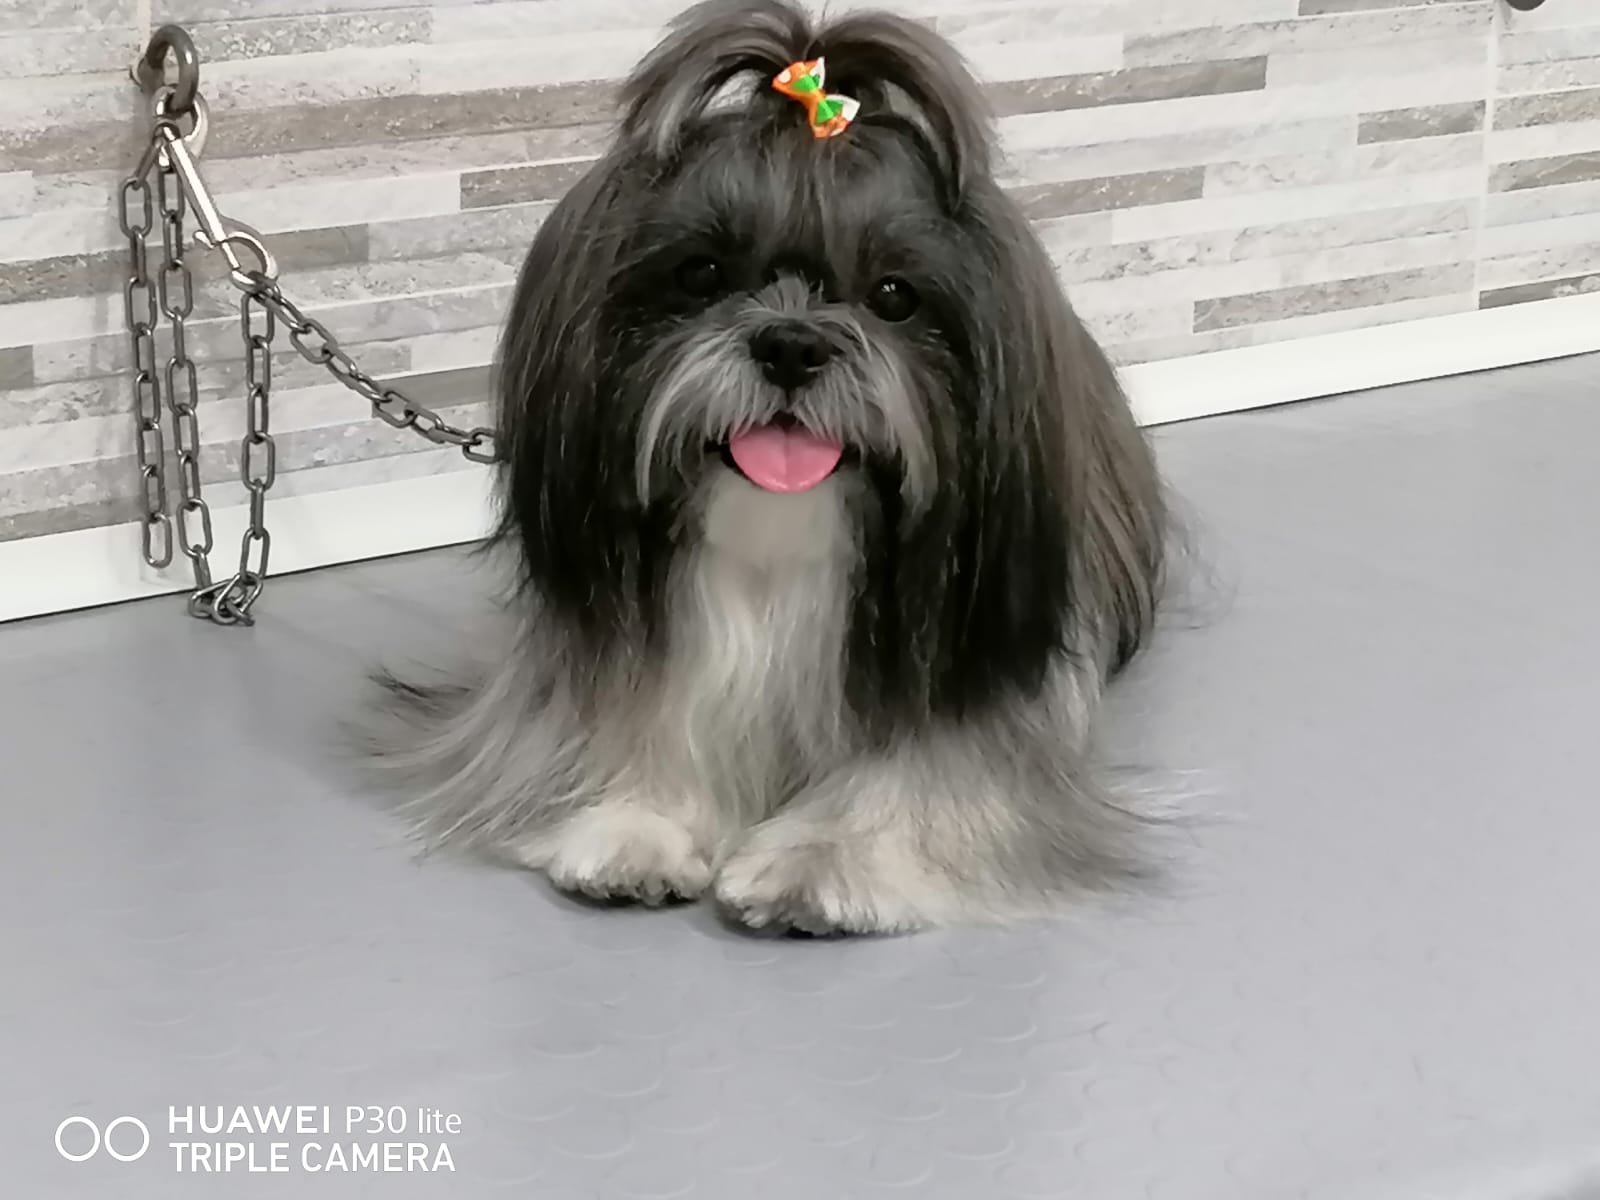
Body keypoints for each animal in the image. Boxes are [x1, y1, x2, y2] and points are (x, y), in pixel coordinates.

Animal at [363, 0, 1171, 934]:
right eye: (701, 273)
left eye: (894, 295)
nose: (790, 344)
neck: (782, 539)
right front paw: (635, 825)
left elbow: (924, 775)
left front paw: (823, 860)